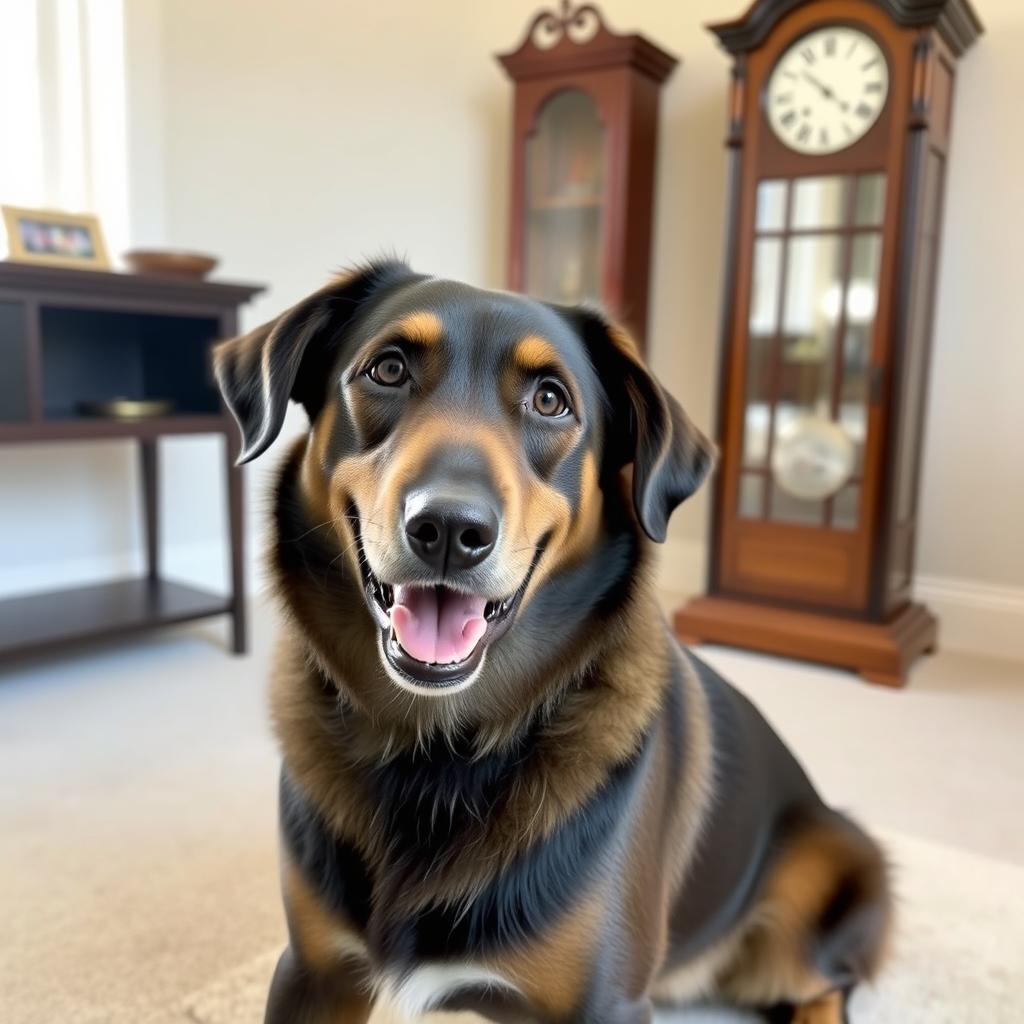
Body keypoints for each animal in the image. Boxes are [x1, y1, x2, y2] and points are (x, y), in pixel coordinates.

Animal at [214, 260, 888, 1019]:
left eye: (549, 400)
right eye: (387, 369)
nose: (450, 528)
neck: (436, 753)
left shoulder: (605, 1002)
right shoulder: (312, 971)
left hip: (834, 870)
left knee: (827, 984)